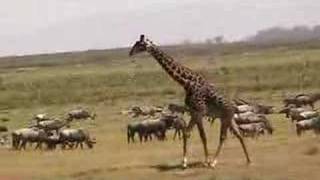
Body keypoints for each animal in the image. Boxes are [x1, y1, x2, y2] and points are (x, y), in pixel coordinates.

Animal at [129, 35, 251, 169]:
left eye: (139, 44)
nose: (130, 53)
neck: (187, 84)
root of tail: (234, 107)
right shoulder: (193, 112)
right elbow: (188, 133)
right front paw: (186, 162)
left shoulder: (200, 112)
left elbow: (202, 136)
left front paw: (204, 161)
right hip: (229, 119)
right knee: (239, 134)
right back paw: (248, 160)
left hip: (225, 118)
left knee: (223, 137)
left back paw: (214, 162)